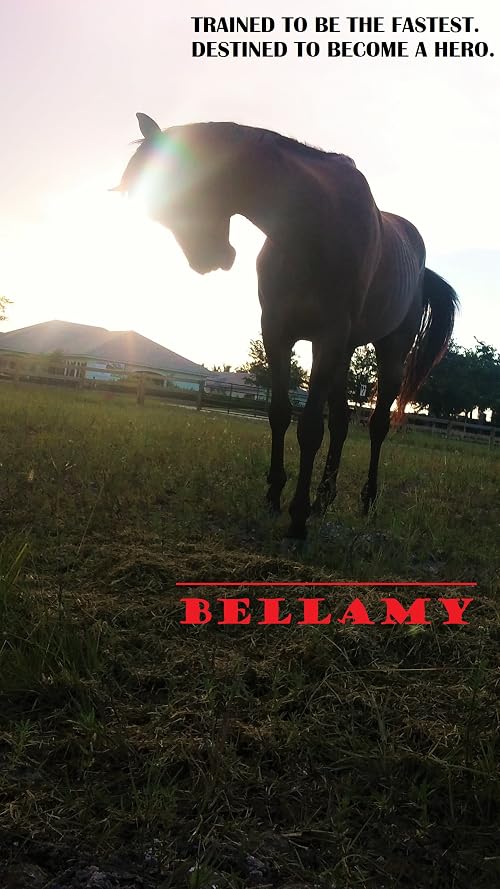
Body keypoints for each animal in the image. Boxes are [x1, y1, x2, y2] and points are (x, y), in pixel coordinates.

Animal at [112, 112, 458, 539]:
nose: (209, 258)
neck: (312, 227)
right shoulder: (277, 332)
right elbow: (279, 413)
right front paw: (275, 496)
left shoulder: (327, 337)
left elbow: (309, 427)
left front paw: (297, 517)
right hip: (344, 354)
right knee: (341, 422)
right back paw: (324, 499)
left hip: (389, 352)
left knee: (377, 426)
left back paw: (366, 501)